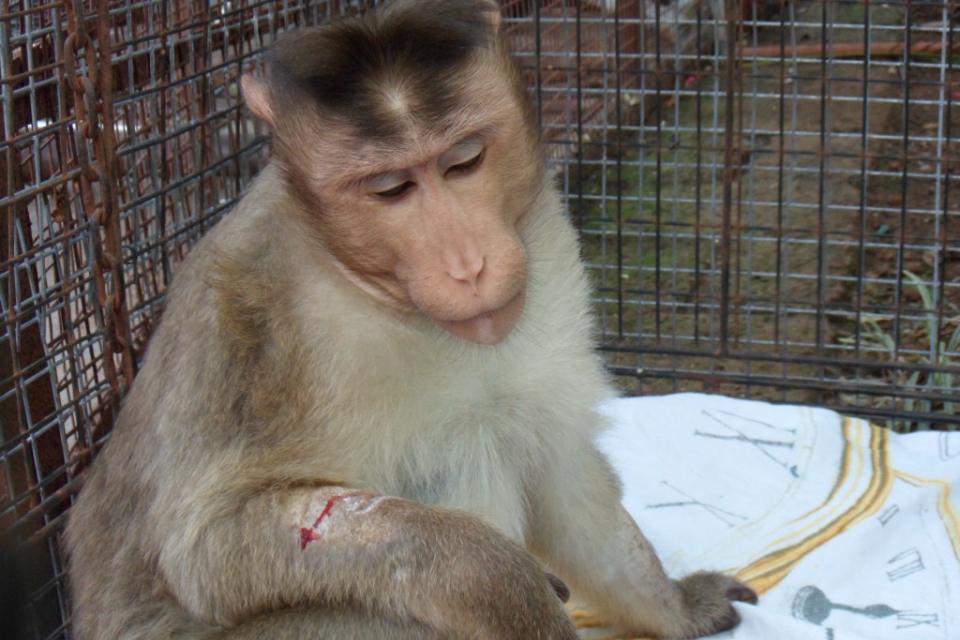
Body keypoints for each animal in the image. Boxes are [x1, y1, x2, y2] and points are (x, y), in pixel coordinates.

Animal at [64, 1, 757, 638]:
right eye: (390, 188)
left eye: (464, 160)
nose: (468, 266)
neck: (370, 290)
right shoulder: (242, 321)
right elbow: (209, 545)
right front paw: (502, 580)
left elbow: (561, 472)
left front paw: (677, 605)